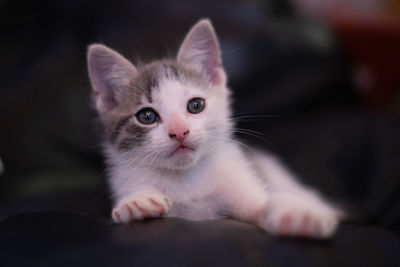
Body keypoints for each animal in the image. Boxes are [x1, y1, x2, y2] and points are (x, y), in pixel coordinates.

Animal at [86, 19, 340, 240]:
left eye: (196, 105)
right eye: (147, 116)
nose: (179, 132)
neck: (186, 179)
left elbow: (262, 204)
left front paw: (298, 214)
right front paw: (137, 203)